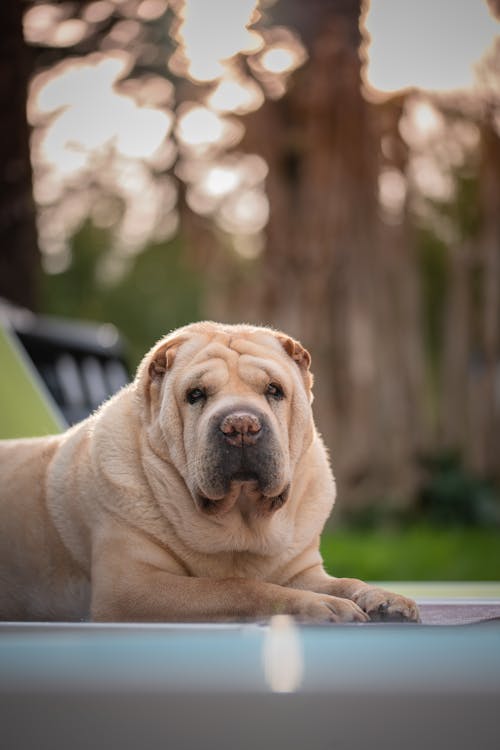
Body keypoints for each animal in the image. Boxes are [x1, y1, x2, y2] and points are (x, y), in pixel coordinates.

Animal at [0, 322, 422, 624]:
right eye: (196, 395)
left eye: (274, 390)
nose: (241, 426)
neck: (240, 522)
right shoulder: (133, 586)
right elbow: (236, 587)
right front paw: (320, 606)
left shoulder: (300, 570)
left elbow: (346, 582)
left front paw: (386, 598)